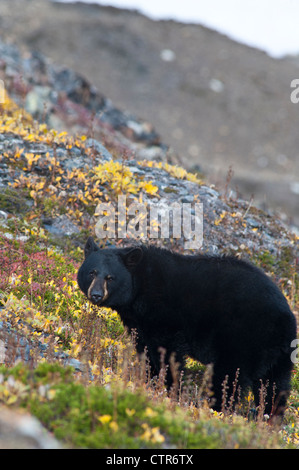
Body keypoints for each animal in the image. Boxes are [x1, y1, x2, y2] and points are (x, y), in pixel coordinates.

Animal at [77, 237, 298, 416]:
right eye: (92, 272)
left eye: (110, 278)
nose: (96, 295)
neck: (139, 288)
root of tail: (287, 320)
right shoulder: (139, 323)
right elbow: (144, 348)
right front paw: (149, 378)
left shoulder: (164, 317)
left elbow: (167, 352)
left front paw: (168, 386)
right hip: (279, 357)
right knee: (275, 386)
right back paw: (269, 417)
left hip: (243, 339)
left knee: (229, 377)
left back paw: (215, 408)